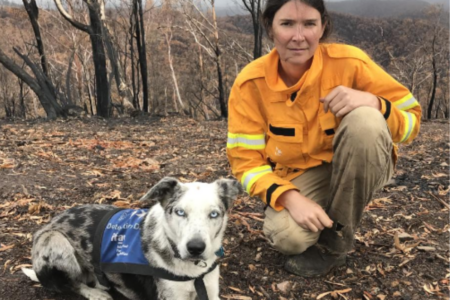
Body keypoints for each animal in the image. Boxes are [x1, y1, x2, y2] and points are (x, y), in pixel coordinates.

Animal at [22, 177, 243, 298]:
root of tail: (48, 223)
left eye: (214, 214)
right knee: (70, 283)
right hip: (56, 240)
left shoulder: (211, 290)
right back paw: (96, 293)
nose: (195, 248)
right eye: (179, 212)